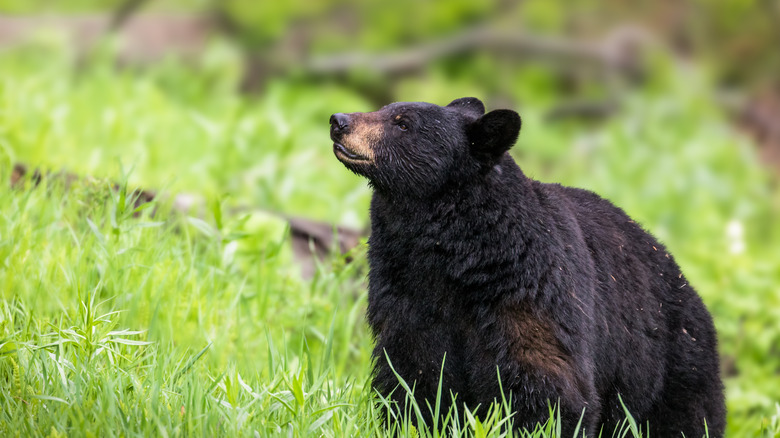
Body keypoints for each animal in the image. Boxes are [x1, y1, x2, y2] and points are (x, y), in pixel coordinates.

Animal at [328, 97, 724, 436]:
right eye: (386, 109)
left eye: (402, 123)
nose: (338, 120)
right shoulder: (404, 290)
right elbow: (413, 373)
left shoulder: (531, 290)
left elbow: (547, 384)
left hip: (670, 366)